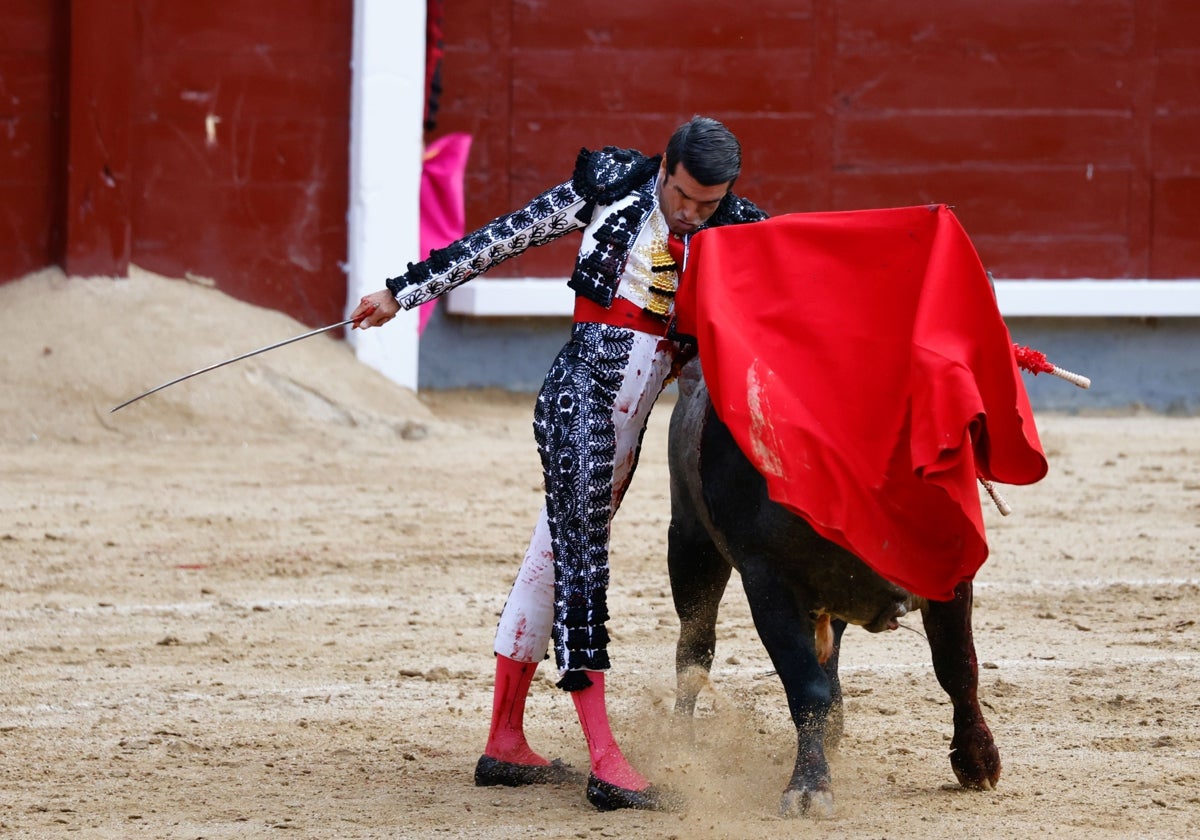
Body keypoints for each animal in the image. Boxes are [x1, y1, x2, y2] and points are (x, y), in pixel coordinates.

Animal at [672, 364, 998, 816]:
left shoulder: (951, 573)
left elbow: (958, 664)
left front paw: (976, 759)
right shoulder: (768, 584)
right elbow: (805, 685)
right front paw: (809, 786)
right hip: (691, 546)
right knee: (695, 648)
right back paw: (678, 746)